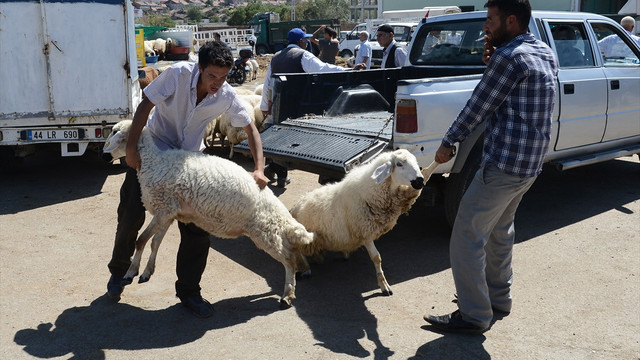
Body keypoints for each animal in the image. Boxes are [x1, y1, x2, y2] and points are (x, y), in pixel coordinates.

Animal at [102, 120, 316, 306]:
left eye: (115, 132)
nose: (105, 156)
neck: (152, 162)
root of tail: (281, 213)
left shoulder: (164, 209)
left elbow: (141, 240)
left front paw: (131, 272)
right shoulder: (168, 212)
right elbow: (154, 242)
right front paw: (147, 271)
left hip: (265, 232)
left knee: (288, 259)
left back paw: (287, 295)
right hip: (271, 231)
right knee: (293, 249)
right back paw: (304, 271)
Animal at [290, 149, 424, 296]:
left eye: (415, 160)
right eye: (399, 164)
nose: (420, 181)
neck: (372, 192)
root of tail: (296, 204)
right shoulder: (365, 232)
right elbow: (377, 258)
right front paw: (384, 285)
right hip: (304, 235)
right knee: (299, 251)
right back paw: (306, 269)